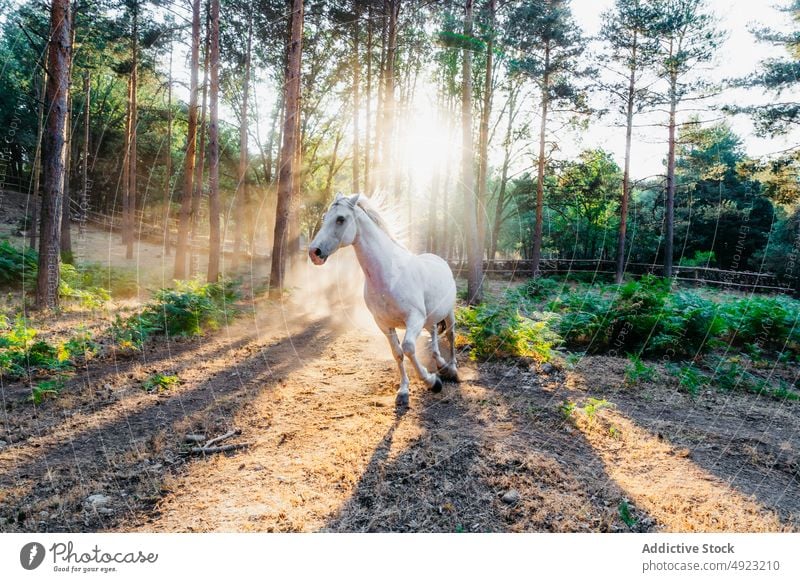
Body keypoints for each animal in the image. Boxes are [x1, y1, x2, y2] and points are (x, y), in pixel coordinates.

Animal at [308, 194, 460, 408]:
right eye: (324, 218)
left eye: (340, 219)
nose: (314, 252)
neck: (389, 275)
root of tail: (440, 260)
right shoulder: (383, 324)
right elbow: (397, 353)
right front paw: (403, 391)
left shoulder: (414, 318)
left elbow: (408, 348)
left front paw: (432, 382)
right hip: (430, 317)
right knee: (433, 333)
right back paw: (440, 363)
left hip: (449, 313)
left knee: (451, 335)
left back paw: (452, 370)